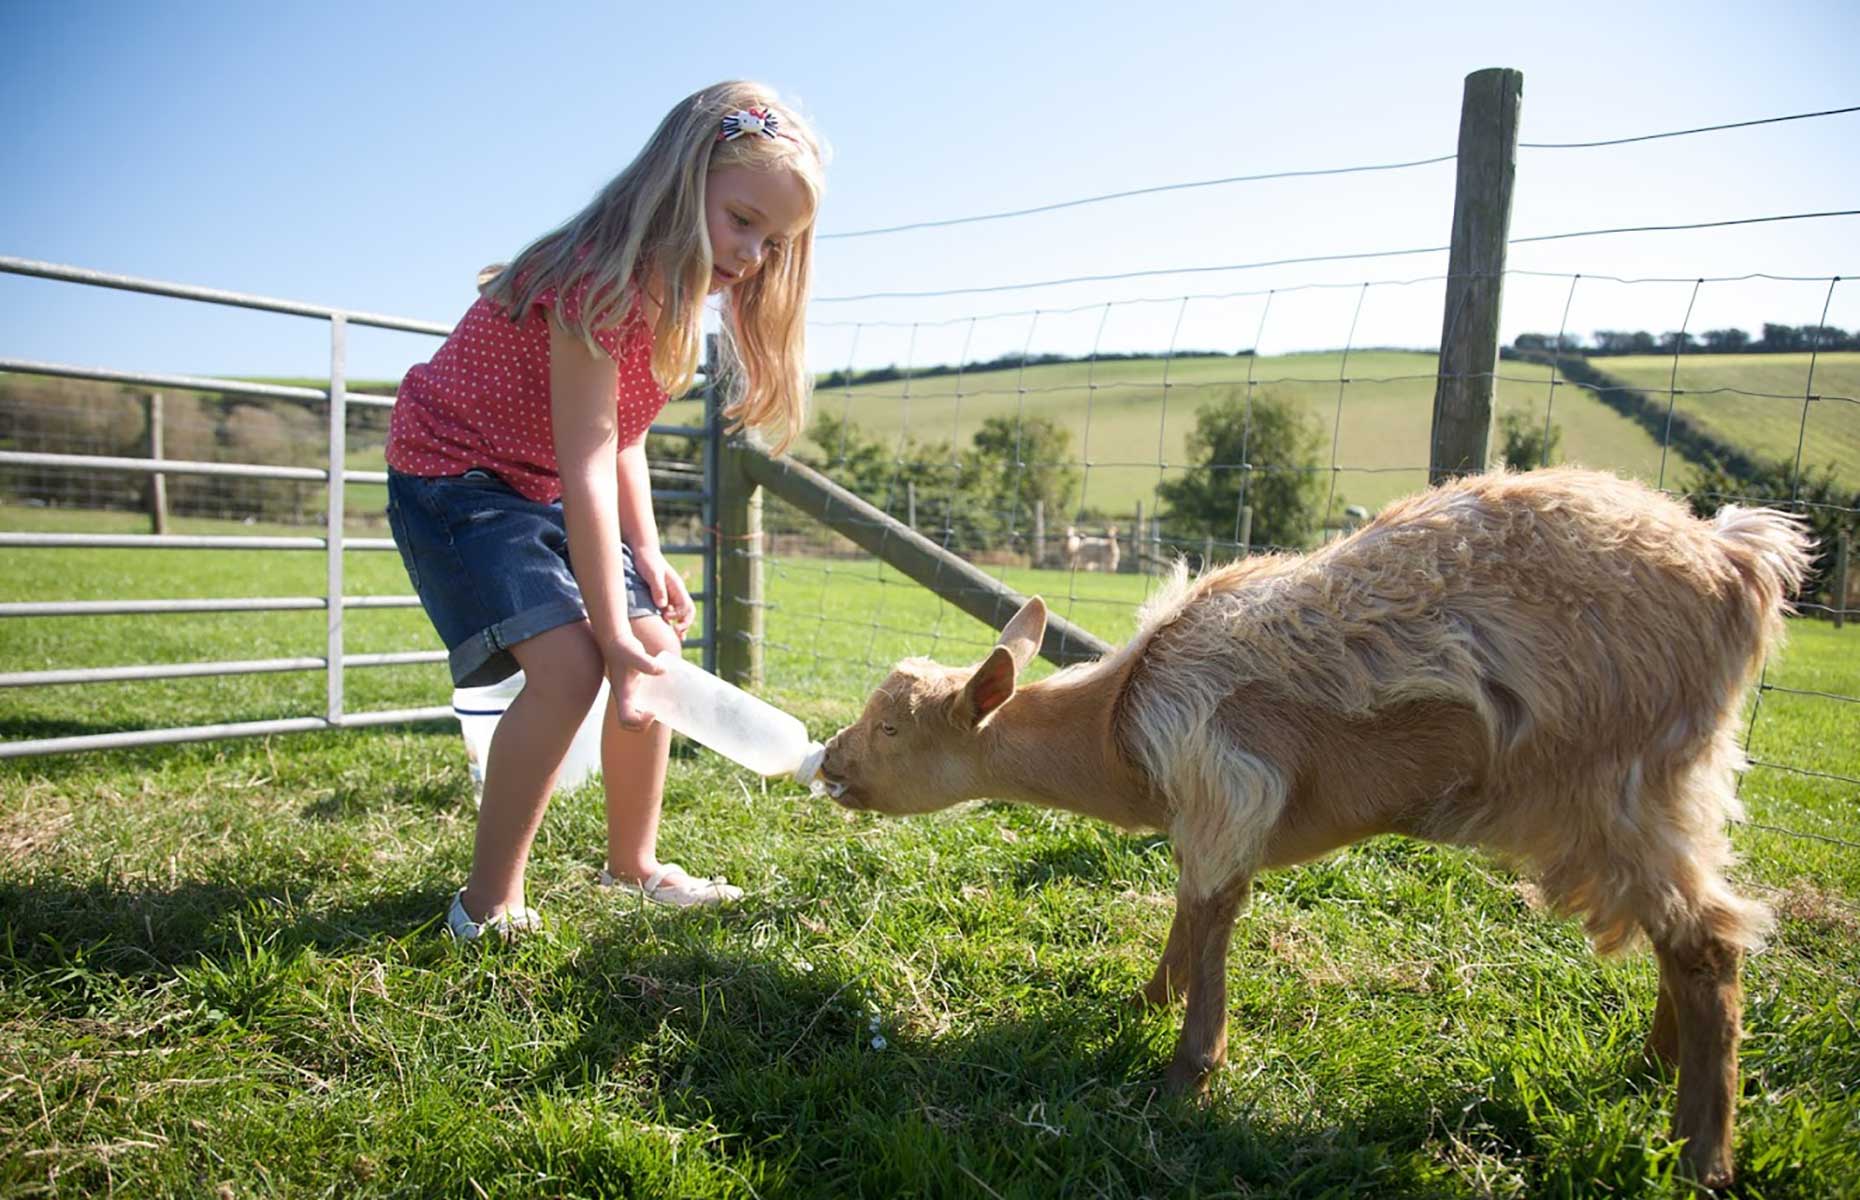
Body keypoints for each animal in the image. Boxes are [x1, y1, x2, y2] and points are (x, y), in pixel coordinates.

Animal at [822, 463, 1807, 1183]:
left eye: (892, 729)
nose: (828, 764)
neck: (1119, 724)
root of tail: (1736, 560)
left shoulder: (1228, 782)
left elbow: (1212, 912)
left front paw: (1184, 1075)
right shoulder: (1205, 808)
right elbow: (1187, 908)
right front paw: (1148, 1000)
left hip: (1627, 780)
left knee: (1709, 941)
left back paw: (1700, 1156)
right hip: (1671, 784)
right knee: (1680, 935)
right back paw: (1658, 1067)